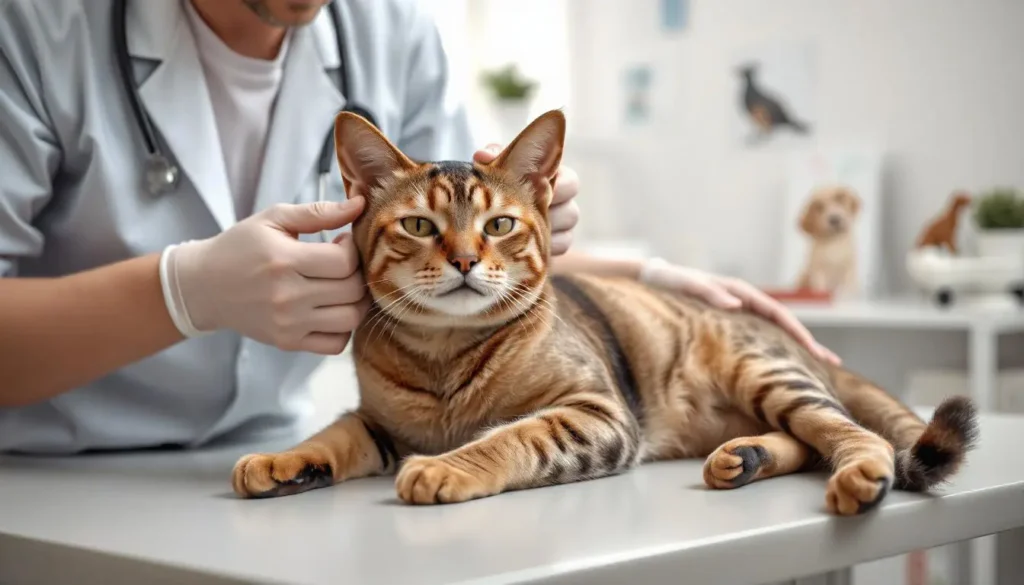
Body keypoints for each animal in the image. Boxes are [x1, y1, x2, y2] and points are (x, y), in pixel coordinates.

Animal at [230, 109, 974, 516]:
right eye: (417, 224)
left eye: (499, 225)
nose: (466, 259)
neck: (445, 355)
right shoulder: (378, 421)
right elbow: (333, 435)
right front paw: (280, 458)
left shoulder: (597, 412)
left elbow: (512, 436)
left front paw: (448, 466)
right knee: (808, 439)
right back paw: (746, 456)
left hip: (766, 374)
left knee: (848, 430)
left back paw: (857, 473)